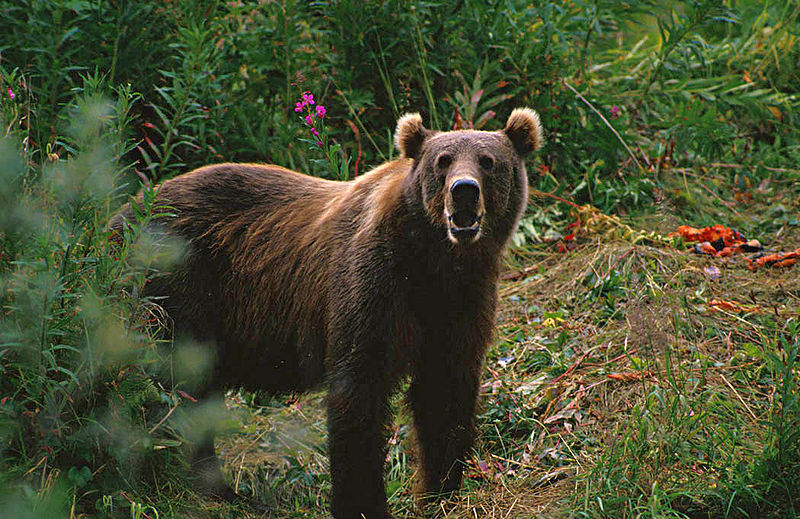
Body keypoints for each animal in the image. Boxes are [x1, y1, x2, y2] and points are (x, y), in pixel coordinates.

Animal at [109, 107, 540, 516]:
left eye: (488, 161)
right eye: (443, 160)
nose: (464, 191)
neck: (433, 260)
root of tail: (121, 214)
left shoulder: (460, 302)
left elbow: (444, 391)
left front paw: (439, 491)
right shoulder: (372, 283)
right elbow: (359, 390)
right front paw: (364, 503)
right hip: (176, 284)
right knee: (175, 385)